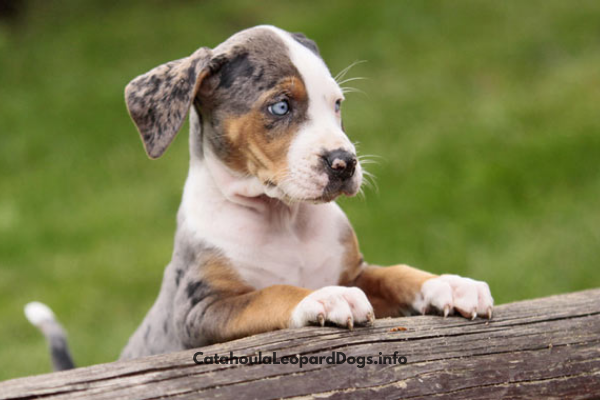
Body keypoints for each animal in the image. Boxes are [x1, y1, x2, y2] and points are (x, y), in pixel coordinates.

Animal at [24, 24, 492, 368]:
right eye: (280, 106)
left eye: (337, 104)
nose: (344, 163)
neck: (283, 217)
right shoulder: (199, 311)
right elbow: (273, 293)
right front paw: (322, 296)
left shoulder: (356, 271)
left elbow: (397, 272)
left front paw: (451, 285)